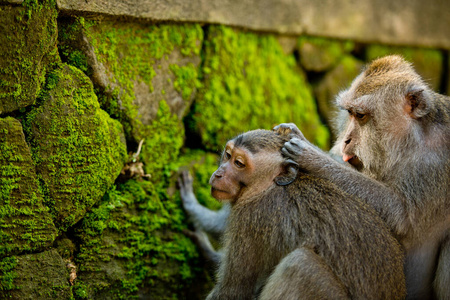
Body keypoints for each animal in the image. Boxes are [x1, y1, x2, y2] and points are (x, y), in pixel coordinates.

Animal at [202, 129, 406, 300]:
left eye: (239, 163)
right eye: (228, 155)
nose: (219, 174)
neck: (267, 186)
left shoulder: (249, 217)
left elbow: (233, 291)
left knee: (300, 265)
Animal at [276, 55, 448, 298]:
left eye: (360, 115)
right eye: (349, 114)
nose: (346, 139)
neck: (411, 142)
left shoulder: (437, 164)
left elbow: (401, 216)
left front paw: (312, 156)